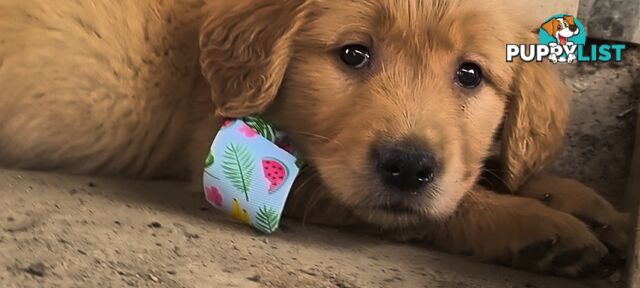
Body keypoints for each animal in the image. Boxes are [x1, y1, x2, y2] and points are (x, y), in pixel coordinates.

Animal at [0, 0, 628, 276]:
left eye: (471, 74)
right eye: (353, 54)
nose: (407, 167)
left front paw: (579, 199)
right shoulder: (243, 164)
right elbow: (448, 206)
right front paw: (535, 224)